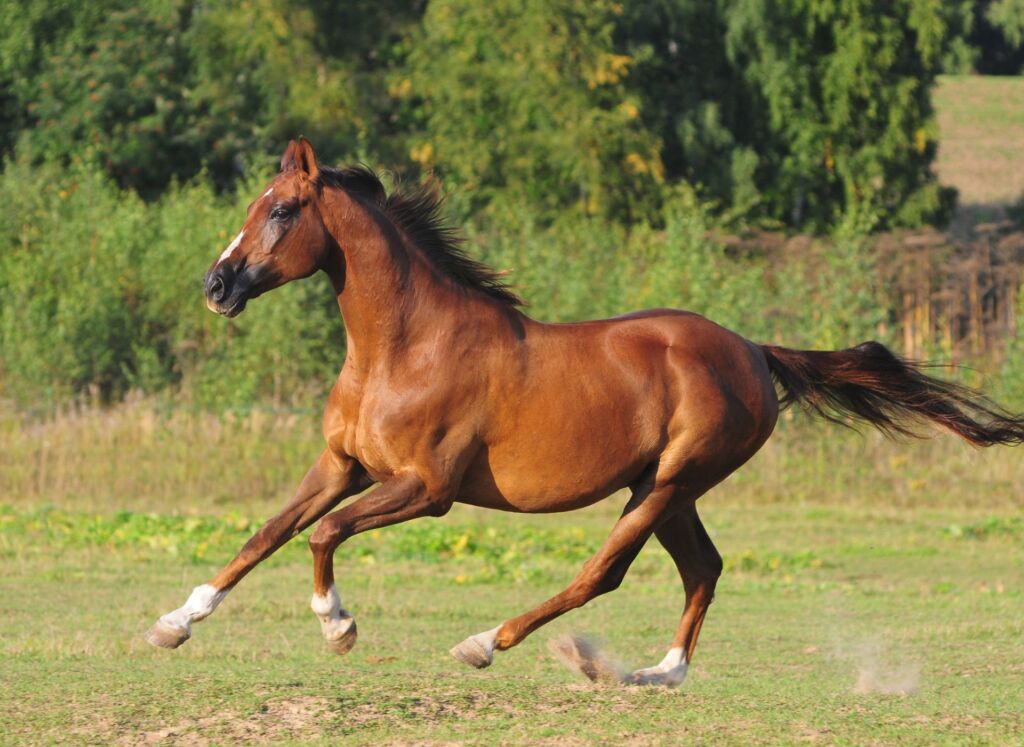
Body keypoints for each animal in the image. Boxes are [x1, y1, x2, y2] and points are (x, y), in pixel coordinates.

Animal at [146, 139, 1024, 688]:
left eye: (282, 211)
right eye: (255, 205)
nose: (216, 287)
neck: (403, 347)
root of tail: (752, 348)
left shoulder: (426, 489)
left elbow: (322, 535)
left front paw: (339, 625)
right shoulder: (342, 464)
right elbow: (267, 532)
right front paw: (173, 622)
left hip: (669, 482)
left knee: (606, 571)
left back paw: (488, 644)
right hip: (668, 489)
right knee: (702, 569)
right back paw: (656, 672)